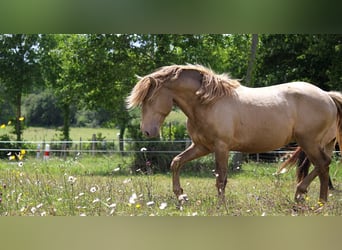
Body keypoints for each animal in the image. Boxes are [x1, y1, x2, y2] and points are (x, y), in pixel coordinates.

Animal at [127, 63, 342, 204]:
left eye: (149, 99)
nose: (147, 131)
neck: (208, 102)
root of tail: (327, 96)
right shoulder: (201, 147)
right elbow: (176, 162)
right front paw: (181, 195)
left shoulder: (221, 147)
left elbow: (221, 178)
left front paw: (220, 205)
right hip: (322, 144)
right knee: (324, 166)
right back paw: (310, 197)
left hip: (309, 142)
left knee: (323, 165)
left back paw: (312, 199)